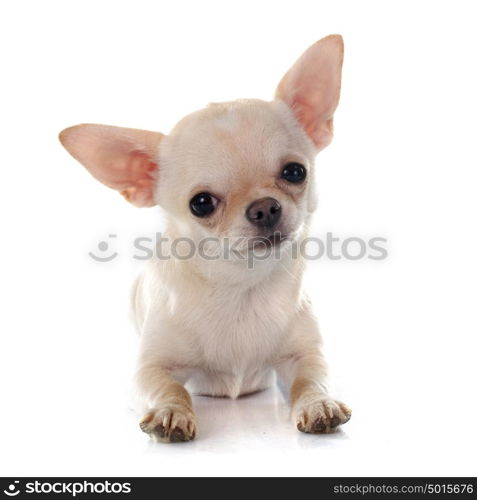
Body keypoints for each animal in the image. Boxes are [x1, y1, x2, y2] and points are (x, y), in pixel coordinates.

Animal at [59, 35, 350, 442]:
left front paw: (318, 404)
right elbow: (170, 387)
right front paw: (170, 412)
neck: (240, 288)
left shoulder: (307, 354)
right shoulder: (148, 371)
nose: (264, 208)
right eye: (201, 204)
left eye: (295, 172)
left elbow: (311, 380)